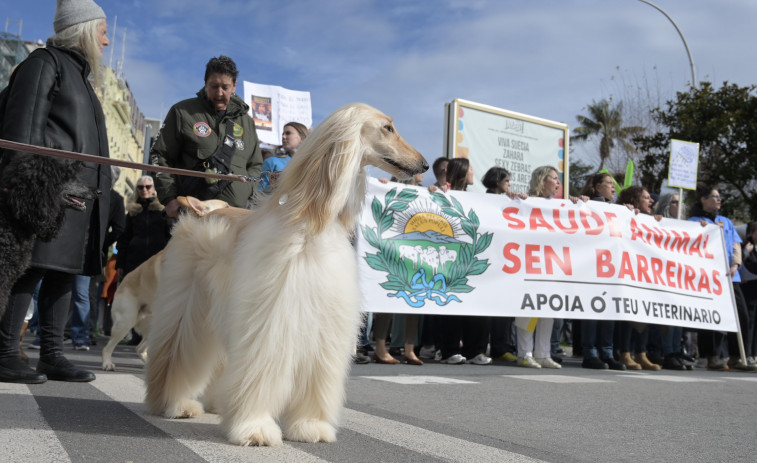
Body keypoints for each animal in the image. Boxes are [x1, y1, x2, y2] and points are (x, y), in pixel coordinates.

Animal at [145, 104, 428, 446]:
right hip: (188, 303)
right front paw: (254, 427)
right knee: (176, 352)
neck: (313, 220)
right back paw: (173, 403)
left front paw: (310, 425)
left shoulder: (323, 319)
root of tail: (204, 212)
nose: (424, 164)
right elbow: (262, 368)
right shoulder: (273, 314)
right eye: (388, 128)